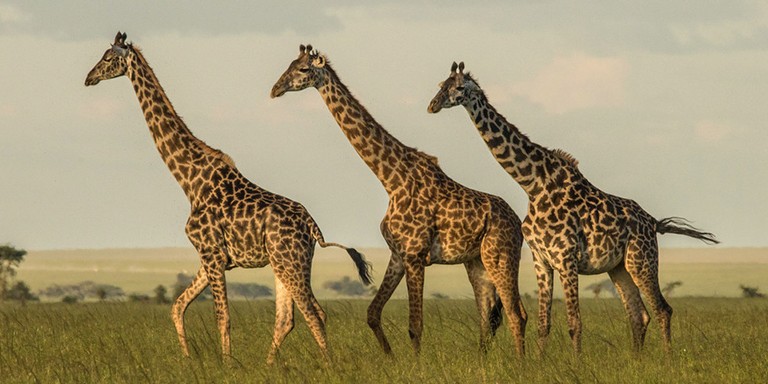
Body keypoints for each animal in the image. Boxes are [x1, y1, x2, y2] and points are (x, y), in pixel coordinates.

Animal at [84, 32, 372, 364]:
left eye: (108, 58)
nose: (89, 78)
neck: (190, 181)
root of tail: (313, 227)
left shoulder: (212, 253)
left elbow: (222, 317)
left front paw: (226, 364)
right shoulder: (210, 256)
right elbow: (177, 307)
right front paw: (188, 359)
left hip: (290, 261)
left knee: (313, 313)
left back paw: (327, 365)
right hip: (284, 262)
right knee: (288, 317)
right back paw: (269, 366)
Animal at [272, 44, 532, 354]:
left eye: (302, 69)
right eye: (288, 65)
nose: (275, 89)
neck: (391, 180)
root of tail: (517, 222)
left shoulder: (416, 256)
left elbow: (415, 326)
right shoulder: (398, 254)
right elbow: (372, 313)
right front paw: (390, 358)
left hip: (501, 255)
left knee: (516, 313)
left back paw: (522, 361)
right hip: (477, 262)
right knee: (488, 313)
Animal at [428, 61, 716, 352]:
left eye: (459, 88)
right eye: (441, 85)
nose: (432, 105)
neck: (533, 185)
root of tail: (653, 222)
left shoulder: (566, 259)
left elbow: (574, 324)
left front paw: (576, 361)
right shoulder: (541, 260)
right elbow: (543, 325)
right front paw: (540, 362)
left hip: (641, 260)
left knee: (662, 310)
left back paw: (667, 358)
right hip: (619, 267)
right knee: (639, 315)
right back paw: (638, 359)